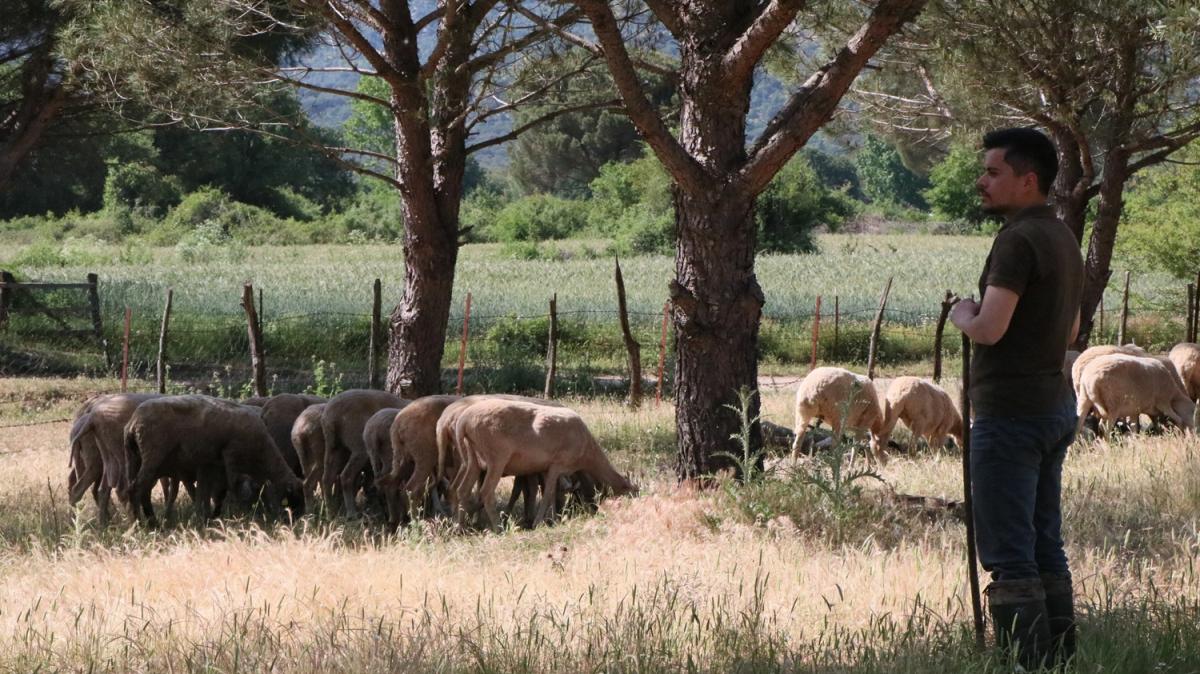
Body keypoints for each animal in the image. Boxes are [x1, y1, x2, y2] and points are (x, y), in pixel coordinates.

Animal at [125, 393, 304, 525]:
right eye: (294, 496)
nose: (297, 520)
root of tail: (132, 423)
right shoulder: (229, 460)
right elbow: (226, 490)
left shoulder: (208, 465)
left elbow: (204, 493)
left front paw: (205, 518)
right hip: (153, 456)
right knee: (136, 488)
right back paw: (140, 523)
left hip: (137, 459)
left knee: (141, 490)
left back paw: (150, 521)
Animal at [451, 395, 638, 527]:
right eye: (631, 492)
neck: (587, 455)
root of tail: (463, 422)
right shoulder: (558, 464)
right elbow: (548, 493)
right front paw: (539, 522)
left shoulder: (547, 468)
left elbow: (552, 492)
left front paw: (553, 519)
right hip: (496, 456)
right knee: (486, 491)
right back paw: (498, 527)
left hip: (473, 458)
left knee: (462, 489)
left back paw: (461, 527)